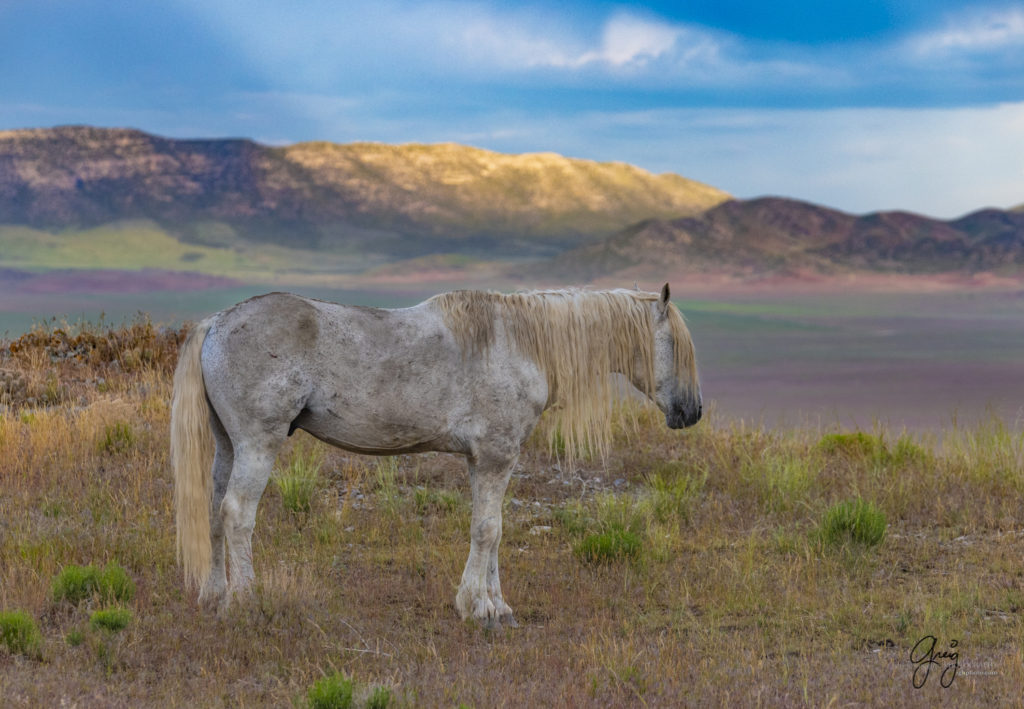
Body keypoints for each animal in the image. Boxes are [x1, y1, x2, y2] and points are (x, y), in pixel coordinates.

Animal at [174, 282, 704, 627]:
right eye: (677, 346)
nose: (692, 411)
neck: (519, 345)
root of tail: (217, 323)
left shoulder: (483, 461)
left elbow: (492, 531)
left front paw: (497, 606)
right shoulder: (495, 457)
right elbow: (488, 530)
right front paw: (478, 608)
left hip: (228, 446)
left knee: (215, 513)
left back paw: (214, 598)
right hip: (258, 444)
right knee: (237, 513)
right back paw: (246, 602)